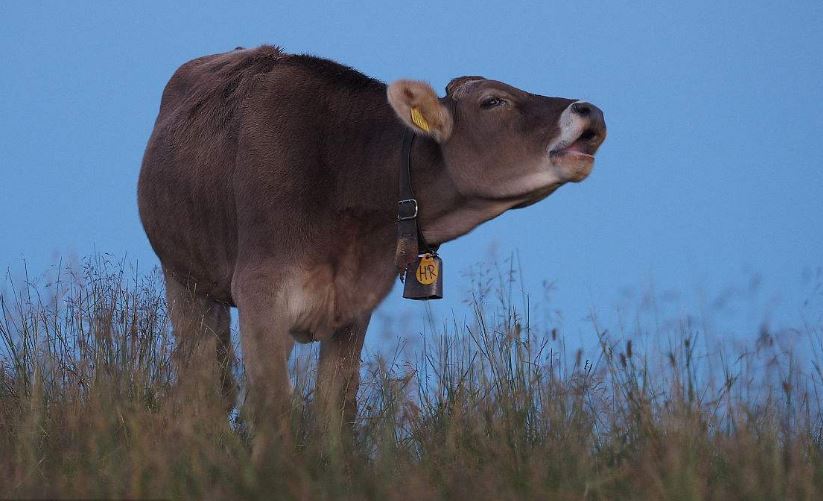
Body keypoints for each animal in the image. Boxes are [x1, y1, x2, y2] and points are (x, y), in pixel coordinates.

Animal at [138, 46, 608, 438]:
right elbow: (272, 405)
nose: (592, 111)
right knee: (202, 379)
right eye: (493, 101)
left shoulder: (354, 304)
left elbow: (335, 405)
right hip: (185, 280)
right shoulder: (260, 291)